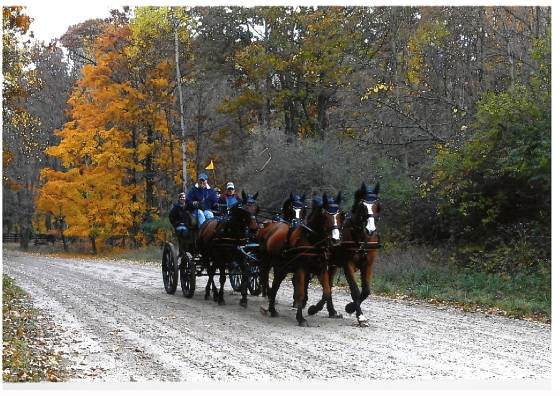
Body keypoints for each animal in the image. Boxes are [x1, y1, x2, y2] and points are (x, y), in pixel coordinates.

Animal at [262, 191, 344, 324]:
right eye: (325, 215)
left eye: (340, 215)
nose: (335, 239)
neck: (312, 241)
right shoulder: (301, 269)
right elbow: (300, 293)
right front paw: (301, 318)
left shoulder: (321, 269)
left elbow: (327, 292)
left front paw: (313, 309)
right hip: (268, 262)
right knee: (267, 280)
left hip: (282, 267)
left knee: (275, 285)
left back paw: (272, 309)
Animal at [306, 181, 380, 326]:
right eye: (362, 206)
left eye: (377, 206)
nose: (370, 230)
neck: (361, 238)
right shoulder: (348, 264)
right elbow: (355, 291)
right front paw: (360, 316)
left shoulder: (368, 264)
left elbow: (366, 291)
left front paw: (350, 307)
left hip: (332, 265)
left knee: (328, 286)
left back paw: (330, 310)